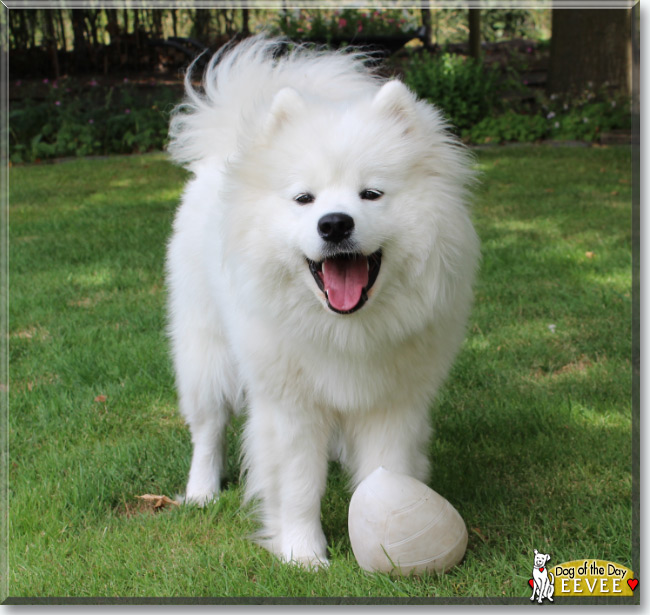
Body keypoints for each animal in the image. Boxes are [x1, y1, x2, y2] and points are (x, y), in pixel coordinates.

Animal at [165, 37, 478, 568]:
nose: (334, 223)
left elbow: (386, 470)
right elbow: (297, 487)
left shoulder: (392, 405)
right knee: (207, 427)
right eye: (304, 199)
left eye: (371, 193)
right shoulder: (291, 409)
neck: (344, 327)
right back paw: (201, 490)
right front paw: (303, 554)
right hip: (206, 351)